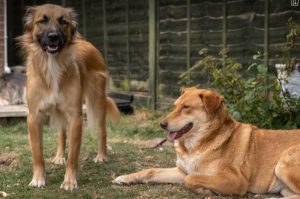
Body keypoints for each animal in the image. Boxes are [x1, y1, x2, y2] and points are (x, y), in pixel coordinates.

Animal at [17, 3, 119, 190]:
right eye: (42, 21)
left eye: (63, 21)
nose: (53, 37)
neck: (52, 65)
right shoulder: (34, 116)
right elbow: (37, 153)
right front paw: (38, 178)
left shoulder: (75, 117)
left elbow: (73, 155)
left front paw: (70, 181)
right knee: (61, 133)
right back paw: (59, 157)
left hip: (96, 101)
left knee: (102, 130)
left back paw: (101, 155)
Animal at [113, 87, 300, 199]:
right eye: (175, 106)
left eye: (186, 107)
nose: (162, 124)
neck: (196, 144)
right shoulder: (181, 170)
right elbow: (151, 171)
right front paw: (125, 178)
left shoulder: (236, 180)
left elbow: (190, 178)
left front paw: (205, 189)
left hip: (284, 161)